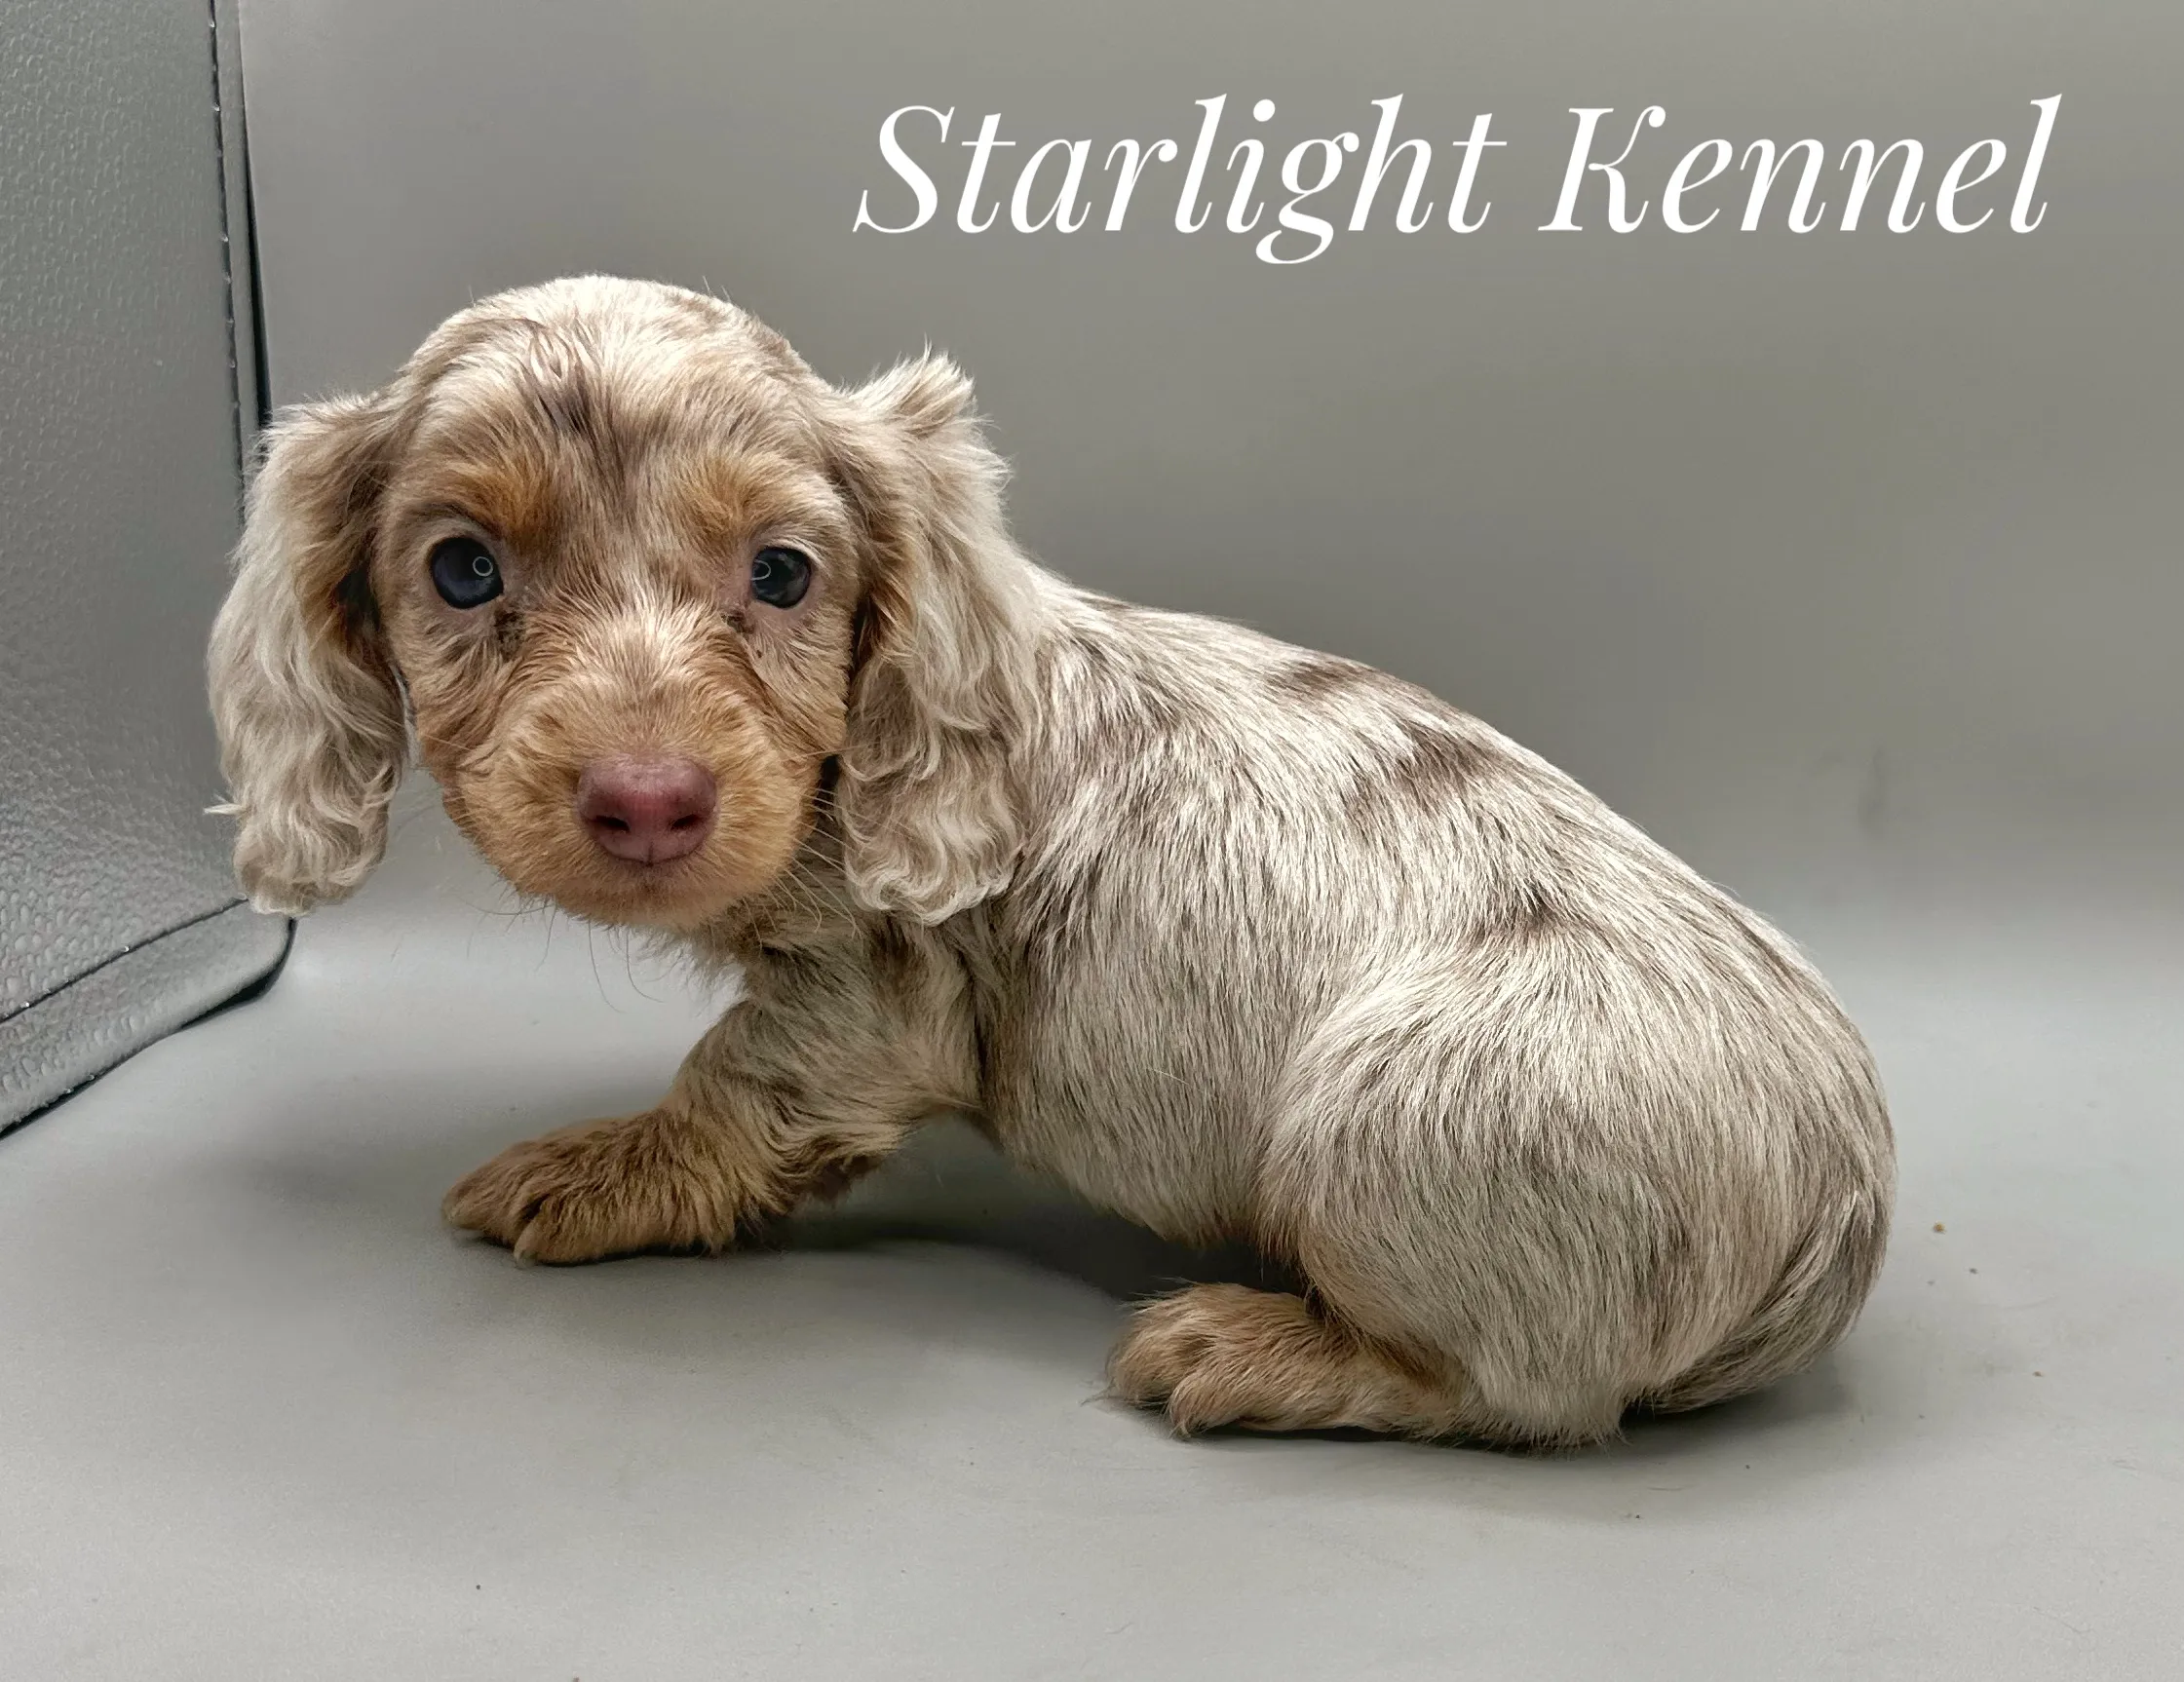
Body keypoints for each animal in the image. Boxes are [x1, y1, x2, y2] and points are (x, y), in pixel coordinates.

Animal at [209, 272, 1896, 1441]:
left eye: (783, 573)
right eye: (461, 569)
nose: (648, 801)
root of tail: (1843, 1204)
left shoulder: (864, 999)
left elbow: (733, 1084)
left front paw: (595, 1167)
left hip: (1392, 1126)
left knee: (1523, 1391)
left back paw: (1246, 1346)